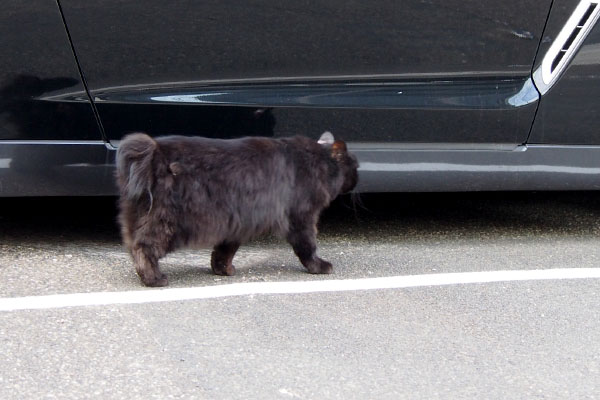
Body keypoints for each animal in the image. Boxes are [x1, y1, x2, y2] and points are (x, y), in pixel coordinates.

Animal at [116, 133, 358, 286]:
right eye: (355, 166)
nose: (358, 179)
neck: (317, 161)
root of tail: (155, 150)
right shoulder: (301, 217)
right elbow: (308, 247)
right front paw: (319, 266)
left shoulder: (237, 223)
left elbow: (223, 252)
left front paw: (222, 270)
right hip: (168, 222)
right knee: (144, 248)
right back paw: (154, 279)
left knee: (134, 245)